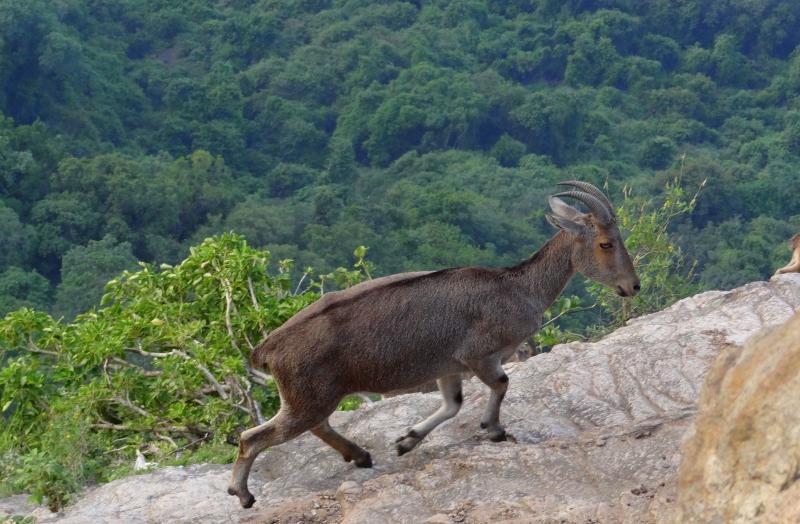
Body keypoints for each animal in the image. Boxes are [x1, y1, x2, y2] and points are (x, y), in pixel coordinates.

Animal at [228, 180, 640, 508]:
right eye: (605, 243)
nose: (632, 286)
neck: (519, 288)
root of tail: (266, 350)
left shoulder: (448, 366)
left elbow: (452, 404)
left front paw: (406, 441)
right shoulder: (479, 355)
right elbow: (500, 384)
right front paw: (495, 430)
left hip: (312, 396)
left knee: (316, 426)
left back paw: (360, 455)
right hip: (307, 397)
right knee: (253, 438)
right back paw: (243, 494)